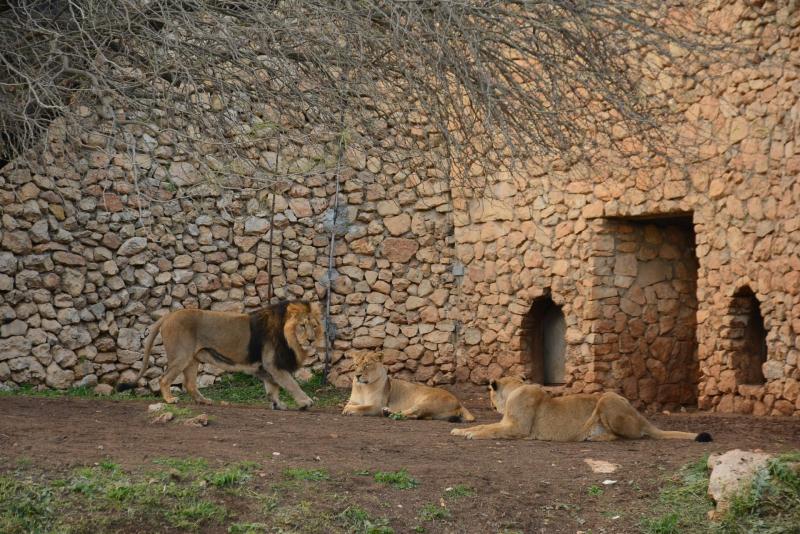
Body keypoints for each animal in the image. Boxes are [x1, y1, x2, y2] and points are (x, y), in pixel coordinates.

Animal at [113, 302, 324, 410]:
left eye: (314, 326)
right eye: (302, 325)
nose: (311, 340)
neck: (290, 339)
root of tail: (168, 316)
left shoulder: (267, 367)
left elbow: (273, 388)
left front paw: (277, 404)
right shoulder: (273, 364)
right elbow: (291, 384)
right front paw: (305, 402)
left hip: (193, 359)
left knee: (189, 384)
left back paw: (203, 401)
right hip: (181, 356)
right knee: (164, 379)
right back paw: (170, 400)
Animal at [340, 354, 476, 426]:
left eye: (367, 365)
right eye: (356, 364)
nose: (357, 375)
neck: (362, 387)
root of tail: (459, 402)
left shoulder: (376, 406)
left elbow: (362, 408)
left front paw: (349, 411)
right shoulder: (353, 401)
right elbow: (350, 405)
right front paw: (348, 408)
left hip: (426, 402)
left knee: (413, 413)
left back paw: (388, 413)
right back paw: (387, 412)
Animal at [450, 376, 712, 444]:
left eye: (488, 392)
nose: (489, 404)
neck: (515, 389)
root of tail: (641, 417)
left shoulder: (519, 429)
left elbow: (491, 430)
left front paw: (471, 434)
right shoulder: (507, 423)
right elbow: (486, 424)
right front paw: (460, 431)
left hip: (607, 399)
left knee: (626, 436)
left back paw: (595, 438)